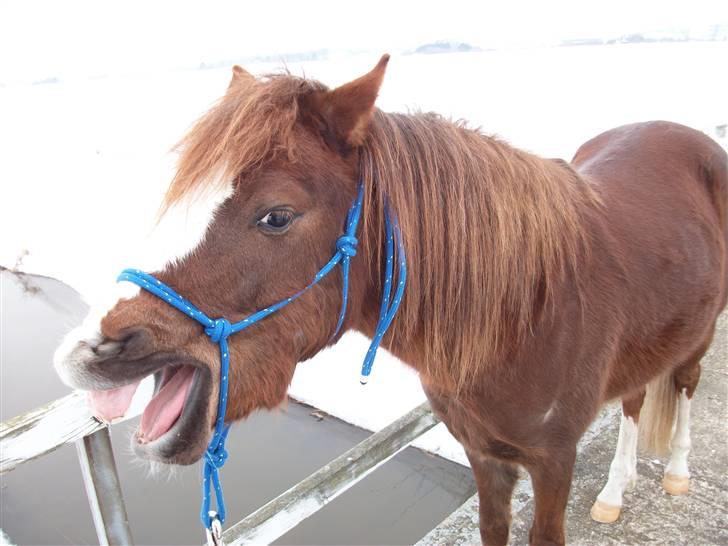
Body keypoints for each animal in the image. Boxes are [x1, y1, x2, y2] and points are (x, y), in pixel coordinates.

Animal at [53, 55, 727, 545]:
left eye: (276, 216)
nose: (84, 353)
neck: (526, 312)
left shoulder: (553, 462)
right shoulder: (485, 457)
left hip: (698, 338)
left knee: (683, 387)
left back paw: (675, 473)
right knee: (637, 399)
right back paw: (614, 492)